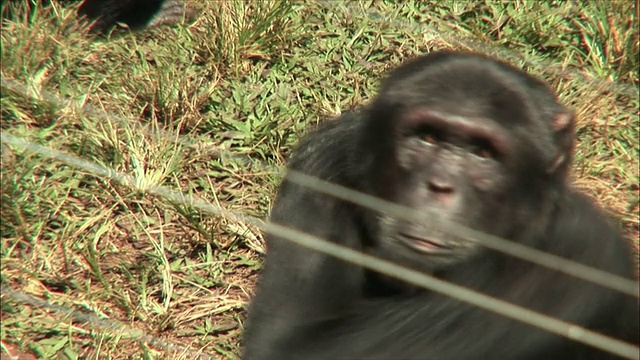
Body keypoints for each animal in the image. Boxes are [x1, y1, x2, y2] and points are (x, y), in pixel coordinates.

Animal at [241, 50, 640, 360]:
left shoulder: (576, 254)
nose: (440, 185)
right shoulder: (322, 165)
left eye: (483, 153)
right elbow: (287, 341)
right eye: (428, 138)